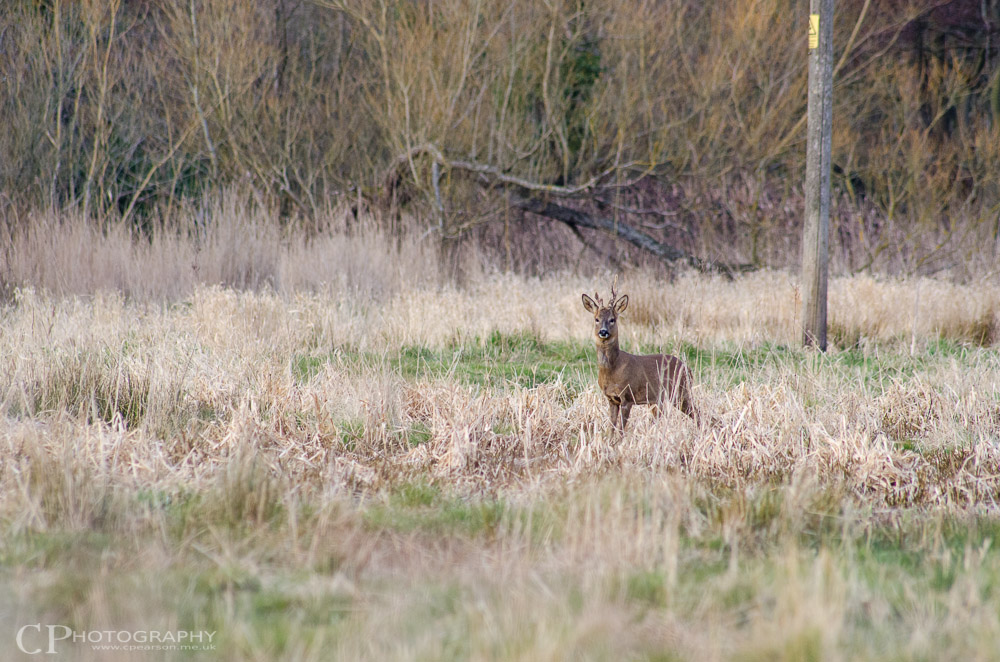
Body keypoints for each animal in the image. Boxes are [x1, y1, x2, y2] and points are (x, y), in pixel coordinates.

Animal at [584, 280, 700, 436]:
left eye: (612, 320)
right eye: (596, 319)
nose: (603, 332)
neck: (613, 369)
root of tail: (688, 369)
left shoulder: (627, 396)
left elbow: (621, 429)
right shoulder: (611, 399)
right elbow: (611, 428)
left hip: (680, 391)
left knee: (697, 413)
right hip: (663, 398)